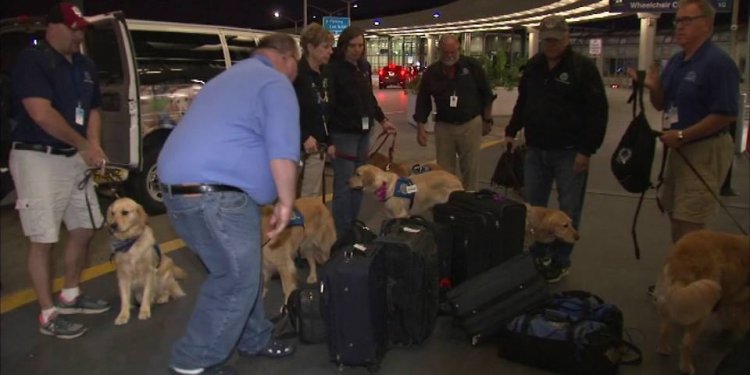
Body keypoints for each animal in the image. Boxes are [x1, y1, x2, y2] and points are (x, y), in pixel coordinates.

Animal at [106, 197, 187, 326]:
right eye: (112, 213)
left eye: (125, 212)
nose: (113, 225)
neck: (130, 243)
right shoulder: (123, 276)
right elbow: (124, 298)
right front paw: (123, 315)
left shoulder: (149, 272)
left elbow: (146, 294)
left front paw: (144, 311)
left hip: (163, 277)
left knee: (168, 291)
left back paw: (162, 298)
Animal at [656, 231, 748, 374]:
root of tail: (682, 259)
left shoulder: (730, 296)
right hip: (703, 308)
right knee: (687, 343)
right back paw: (686, 367)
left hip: (668, 301)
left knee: (664, 329)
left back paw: (663, 349)